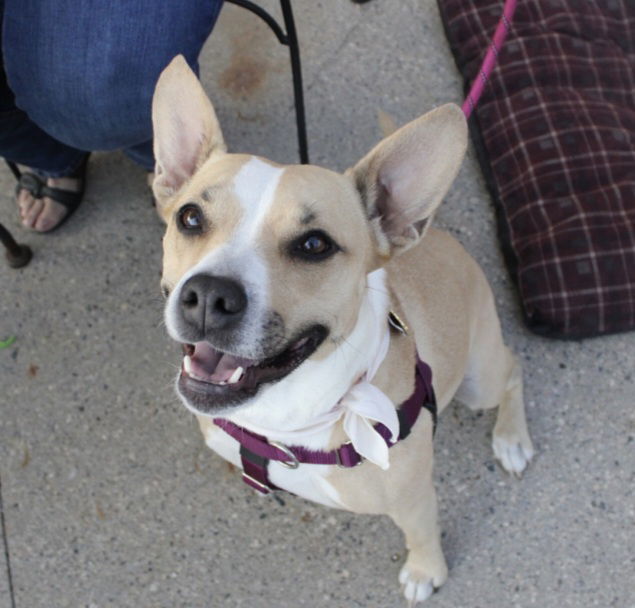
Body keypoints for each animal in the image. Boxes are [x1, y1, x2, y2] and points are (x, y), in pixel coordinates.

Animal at [152, 55, 536, 604]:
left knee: (512, 371)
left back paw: (511, 439)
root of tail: (436, 233)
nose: (208, 297)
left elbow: (422, 533)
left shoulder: (415, 498)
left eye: (314, 245)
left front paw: (425, 570)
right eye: (189, 217)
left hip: (478, 380)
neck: (285, 419)